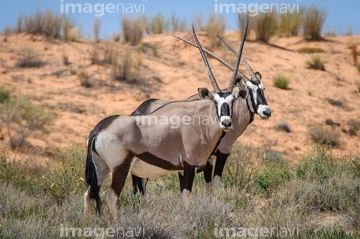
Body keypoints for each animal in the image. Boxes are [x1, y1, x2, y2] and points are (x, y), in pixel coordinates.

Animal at [84, 25, 249, 219]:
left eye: (232, 101)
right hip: (119, 168)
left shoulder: (182, 169)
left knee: (89, 195)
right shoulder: (189, 165)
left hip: (101, 168)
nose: (226, 123)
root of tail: (98, 130)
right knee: (110, 197)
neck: (200, 121)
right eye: (215, 101)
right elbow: (186, 196)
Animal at [131, 30, 272, 194]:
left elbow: (207, 184)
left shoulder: (208, 157)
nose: (266, 111)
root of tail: (137, 111)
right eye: (249, 90)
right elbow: (215, 183)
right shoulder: (222, 152)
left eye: (263, 88)